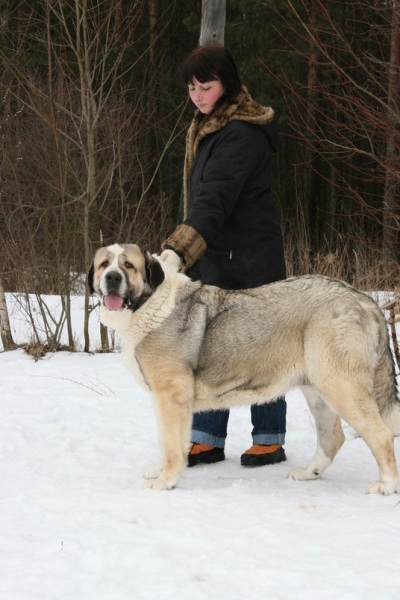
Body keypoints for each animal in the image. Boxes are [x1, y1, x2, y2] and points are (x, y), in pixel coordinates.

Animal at [88, 243, 400, 492]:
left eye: (128, 265)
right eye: (104, 264)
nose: (112, 277)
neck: (148, 303)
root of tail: (365, 300)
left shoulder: (172, 397)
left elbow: (173, 447)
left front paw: (165, 481)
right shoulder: (161, 399)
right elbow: (165, 440)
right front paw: (158, 470)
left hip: (340, 386)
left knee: (381, 434)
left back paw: (386, 486)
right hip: (317, 389)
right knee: (333, 436)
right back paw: (309, 474)